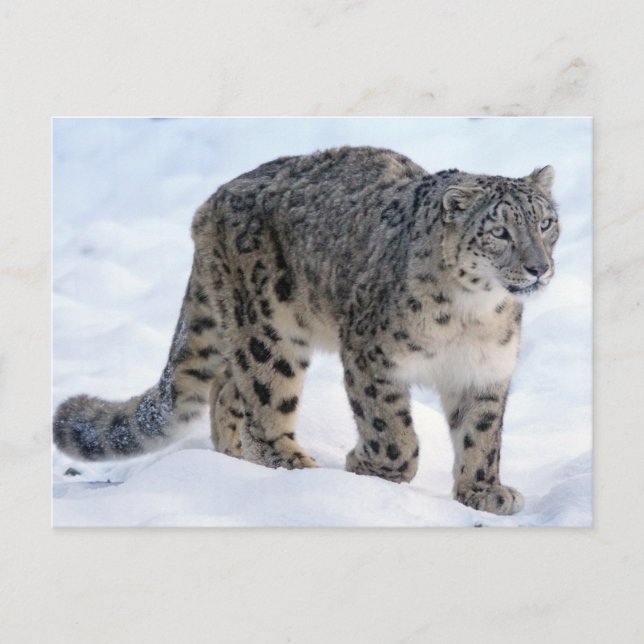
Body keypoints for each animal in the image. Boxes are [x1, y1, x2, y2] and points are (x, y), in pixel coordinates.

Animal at [53, 146, 559, 516]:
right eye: (499, 231)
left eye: (546, 222)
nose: (539, 267)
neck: (473, 314)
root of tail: (211, 203)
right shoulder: (372, 357)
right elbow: (392, 431)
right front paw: (369, 466)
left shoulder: (485, 371)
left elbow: (482, 435)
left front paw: (483, 491)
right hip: (269, 331)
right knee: (262, 403)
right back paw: (294, 467)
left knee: (226, 389)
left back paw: (233, 460)